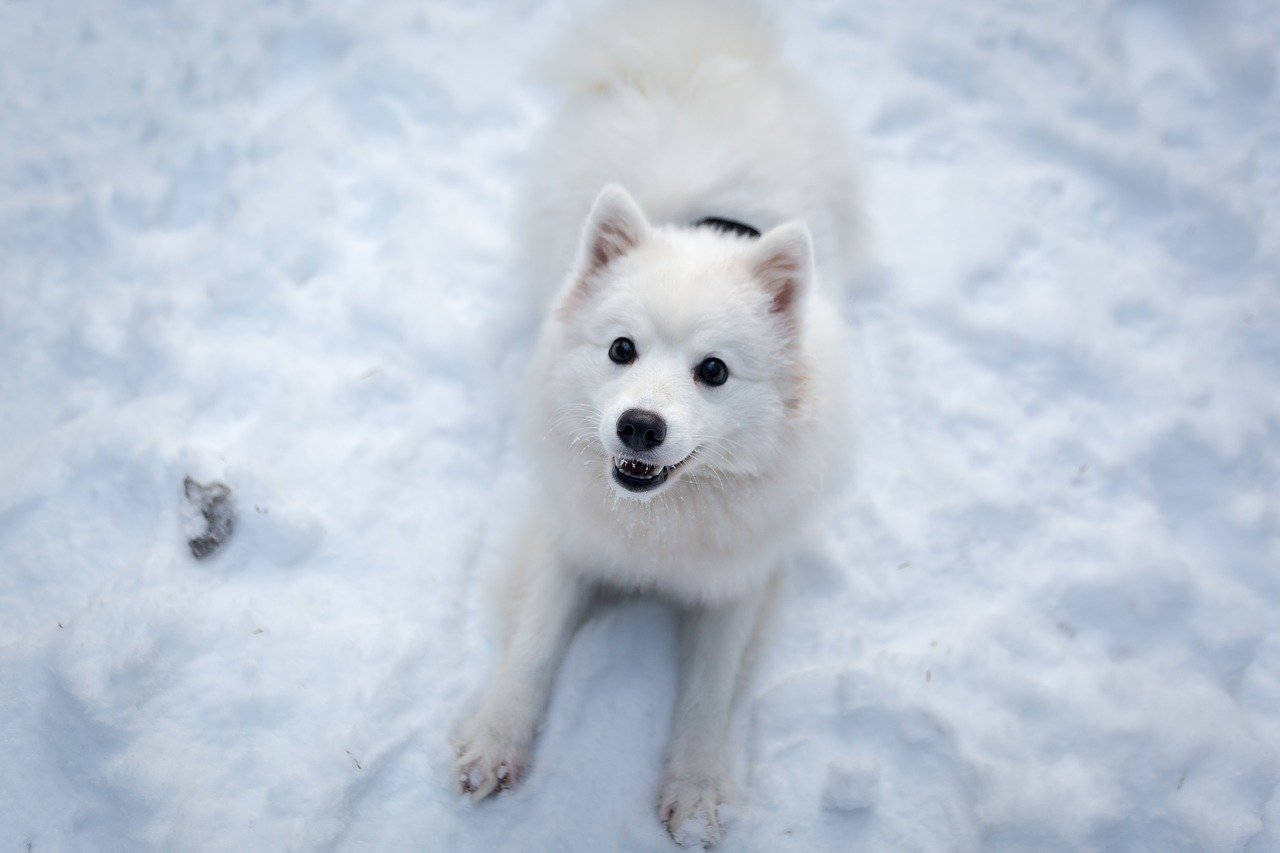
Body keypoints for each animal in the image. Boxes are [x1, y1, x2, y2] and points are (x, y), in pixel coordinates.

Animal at [450, 0, 860, 835]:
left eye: (714, 371)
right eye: (621, 349)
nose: (639, 425)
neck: (660, 522)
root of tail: (694, 51)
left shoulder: (738, 580)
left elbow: (709, 690)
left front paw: (696, 793)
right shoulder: (568, 539)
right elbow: (533, 643)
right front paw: (494, 742)